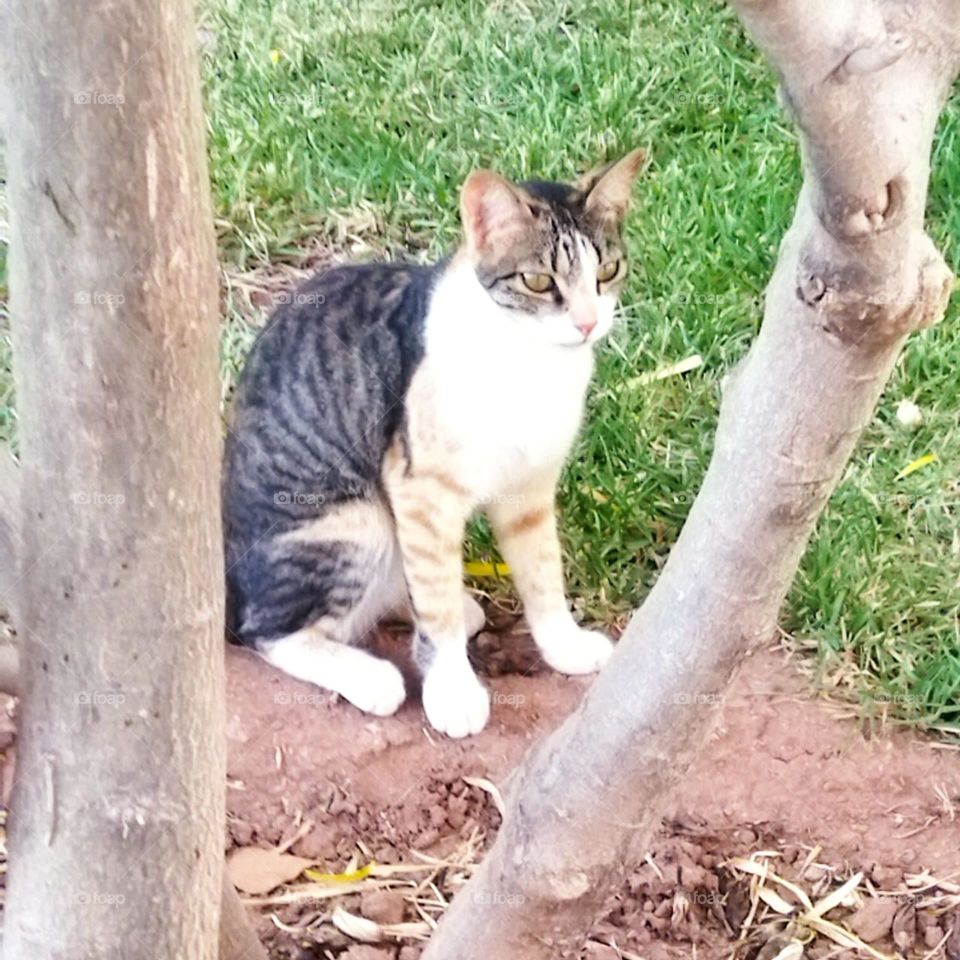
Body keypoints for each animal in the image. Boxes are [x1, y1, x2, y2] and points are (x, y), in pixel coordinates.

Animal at [224, 148, 644, 736]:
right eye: (538, 281)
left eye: (607, 270)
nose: (587, 323)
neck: (531, 367)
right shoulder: (421, 488)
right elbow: (436, 605)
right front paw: (452, 693)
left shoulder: (530, 487)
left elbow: (543, 572)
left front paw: (563, 644)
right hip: (356, 520)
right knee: (268, 628)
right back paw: (370, 677)